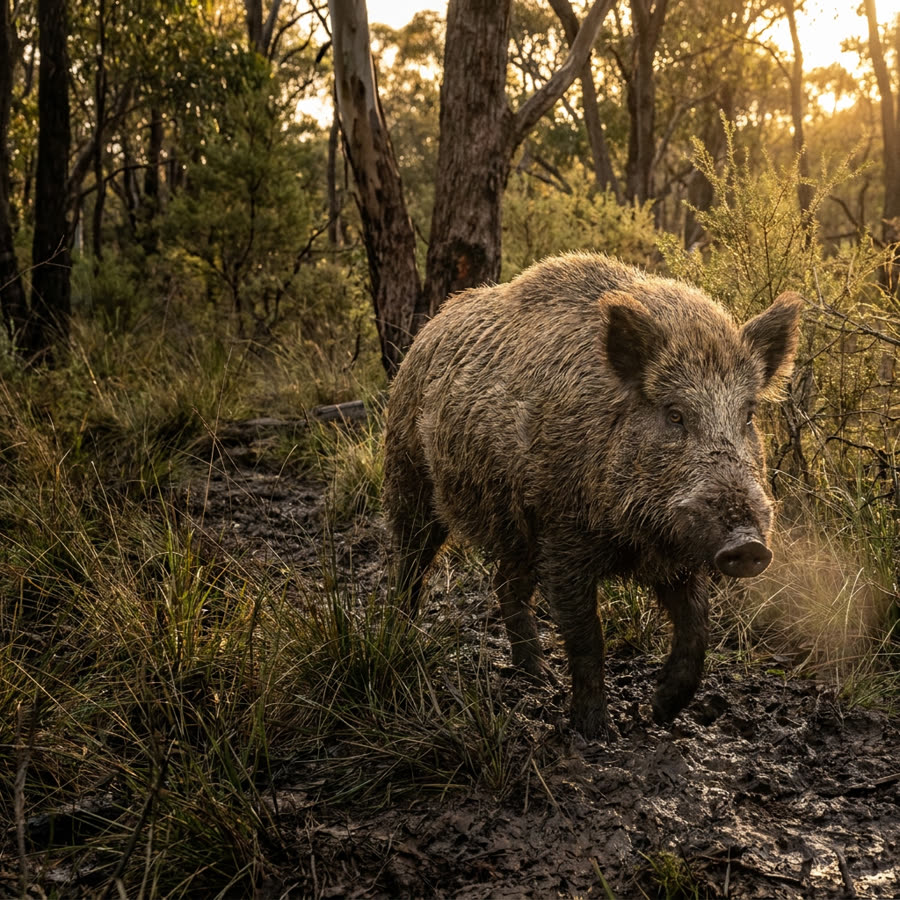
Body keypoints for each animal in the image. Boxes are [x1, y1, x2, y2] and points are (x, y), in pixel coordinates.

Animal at [383, 252, 802, 738]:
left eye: (749, 414)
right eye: (674, 414)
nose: (748, 545)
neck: (634, 536)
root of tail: (428, 329)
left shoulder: (676, 555)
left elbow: (697, 627)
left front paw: (660, 712)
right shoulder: (563, 537)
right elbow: (588, 637)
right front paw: (596, 730)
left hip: (516, 529)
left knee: (505, 583)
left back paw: (538, 676)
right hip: (409, 473)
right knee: (411, 561)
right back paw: (402, 634)